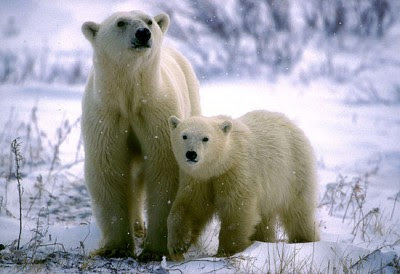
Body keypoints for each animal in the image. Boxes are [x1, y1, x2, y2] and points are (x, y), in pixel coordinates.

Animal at [81, 10, 202, 260]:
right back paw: (137, 227)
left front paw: (155, 250)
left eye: (149, 21)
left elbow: (165, 168)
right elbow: (109, 168)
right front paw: (116, 247)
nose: (143, 33)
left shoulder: (157, 113)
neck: (131, 97)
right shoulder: (107, 116)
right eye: (120, 22)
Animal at [166, 111, 318, 262]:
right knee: (265, 218)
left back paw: (304, 240)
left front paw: (227, 251)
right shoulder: (198, 178)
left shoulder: (236, 170)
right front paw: (178, 246)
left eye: (205, 138)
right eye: (184, 136)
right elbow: (191, 206)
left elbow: (237, 209)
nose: (191, 154)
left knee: (298, 210)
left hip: (294, 171)